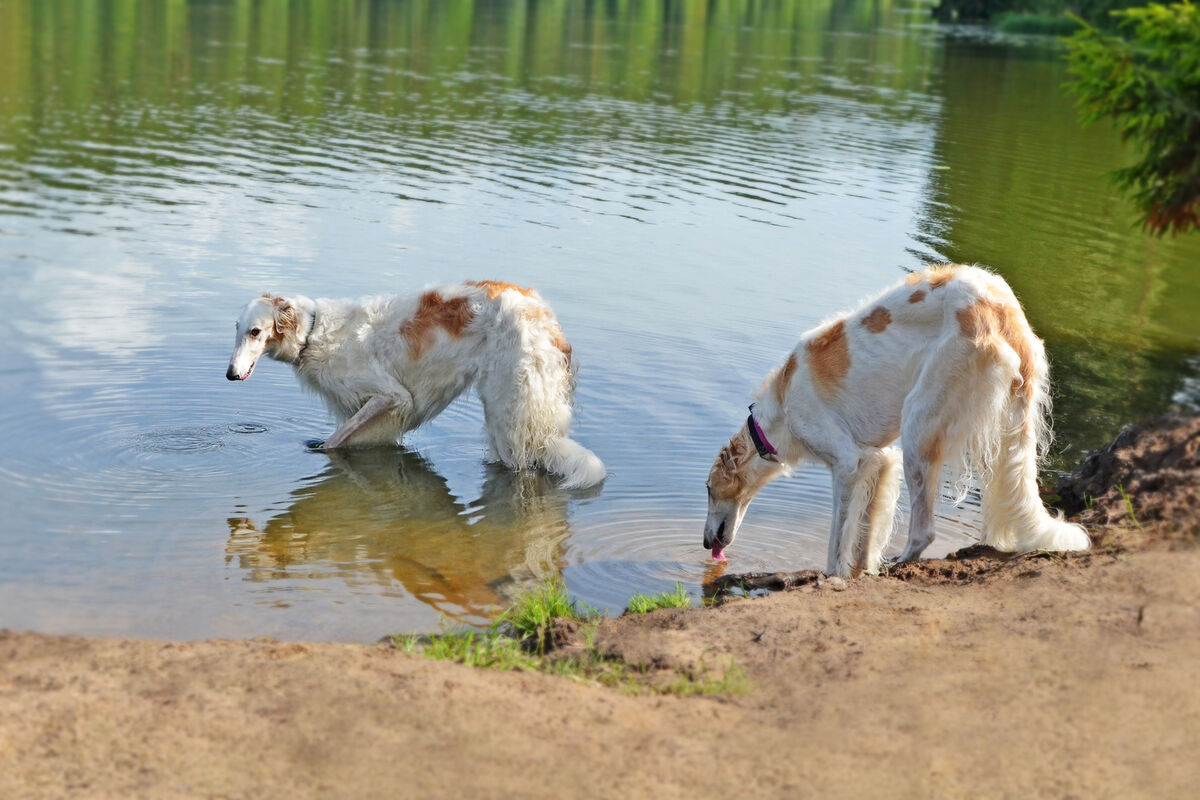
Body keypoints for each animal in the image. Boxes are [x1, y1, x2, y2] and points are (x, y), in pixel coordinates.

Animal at [225, 278, 604, 489]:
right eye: (237, 328)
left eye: (255, 331)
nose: (230, 374)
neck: (314, 332)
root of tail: (546, 318)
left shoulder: (391, 398)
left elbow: (334, 442)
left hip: (508, 414)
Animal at [700, 263, 1089, 575]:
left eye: (708, 489)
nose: (705, 545)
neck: (780, 409)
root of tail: (1004, 310)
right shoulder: (879, 458)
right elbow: (865, 531)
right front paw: (859, 571)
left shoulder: (846, 462)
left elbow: (838, 536)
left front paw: (833, 575)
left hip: (919, 427)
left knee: (924, 531)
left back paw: (900, 563)